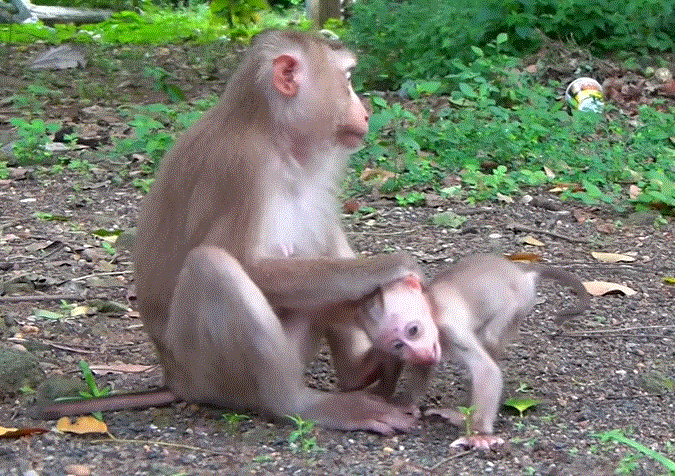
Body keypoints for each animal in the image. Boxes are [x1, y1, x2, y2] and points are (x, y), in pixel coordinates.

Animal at [33, 30, 430, 435]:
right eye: (347, 81)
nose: (364, 111)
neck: (269, 129)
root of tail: (174, 379)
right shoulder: (245, 168)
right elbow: (246, 262)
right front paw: (391, 268)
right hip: (207, 371)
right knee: (213, 266)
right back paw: (302, 404)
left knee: (318, 236)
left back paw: (359, 369)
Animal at [347, 254, 591, 447]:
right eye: (398, 345)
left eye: (413, 330)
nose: (420, 352)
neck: (432, 307)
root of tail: (522, 272)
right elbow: (424, 368)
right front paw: (405, 403)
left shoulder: (449, 325)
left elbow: (487, 371)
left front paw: (478, 435)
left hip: (520, 301)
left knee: (489, 338)